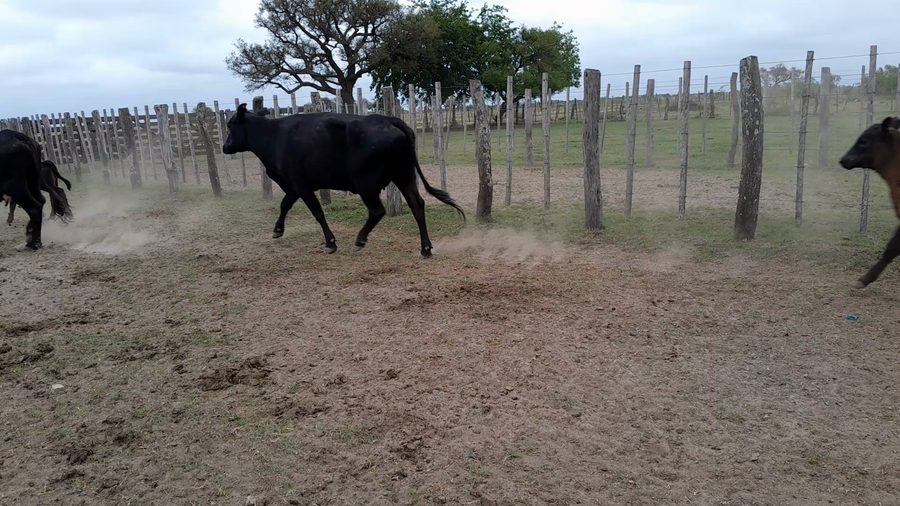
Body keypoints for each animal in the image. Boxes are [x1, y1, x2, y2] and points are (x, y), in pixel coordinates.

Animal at [221, 104, 465, 257]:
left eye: (230, 125)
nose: (225, 147)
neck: (274, 136)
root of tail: (389, 120)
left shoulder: (301, 185)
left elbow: (317, 212)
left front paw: (330, 243)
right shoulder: (293, 186)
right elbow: (284, 205)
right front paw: (278, 230)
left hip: (366, 183)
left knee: (377, 211)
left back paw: (360, 240)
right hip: (404, 175)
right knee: (417, 205)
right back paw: (425, 248)